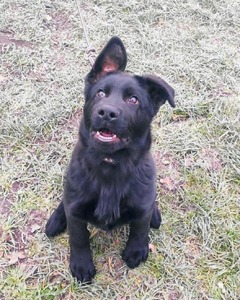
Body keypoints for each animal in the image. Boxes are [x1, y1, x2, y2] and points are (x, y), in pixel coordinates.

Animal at [46, 36, 175, 282]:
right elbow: (78, 237)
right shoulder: (76, 210)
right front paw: (81, 264)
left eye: (133, 100)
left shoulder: (141, 206)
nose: (106, 113)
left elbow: (140, 227)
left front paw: (137, 250)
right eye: (100, 94)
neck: (109, 165)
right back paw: (56, 220)